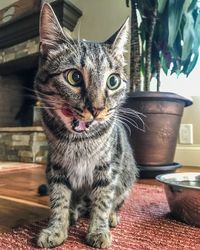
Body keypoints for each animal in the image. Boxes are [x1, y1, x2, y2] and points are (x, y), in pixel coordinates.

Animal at [34, 2, 138, 249]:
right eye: (74, 77)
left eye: (113, 81)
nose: (98, 108)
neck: (79, 140)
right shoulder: (56, 168)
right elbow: (59, 199)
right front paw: (56, 229)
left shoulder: (108, 168)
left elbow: (103, 201)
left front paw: (99, 230)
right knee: (78, 204)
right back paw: (74, 212)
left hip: (128, 177)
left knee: (112, 201)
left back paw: (111, 216)